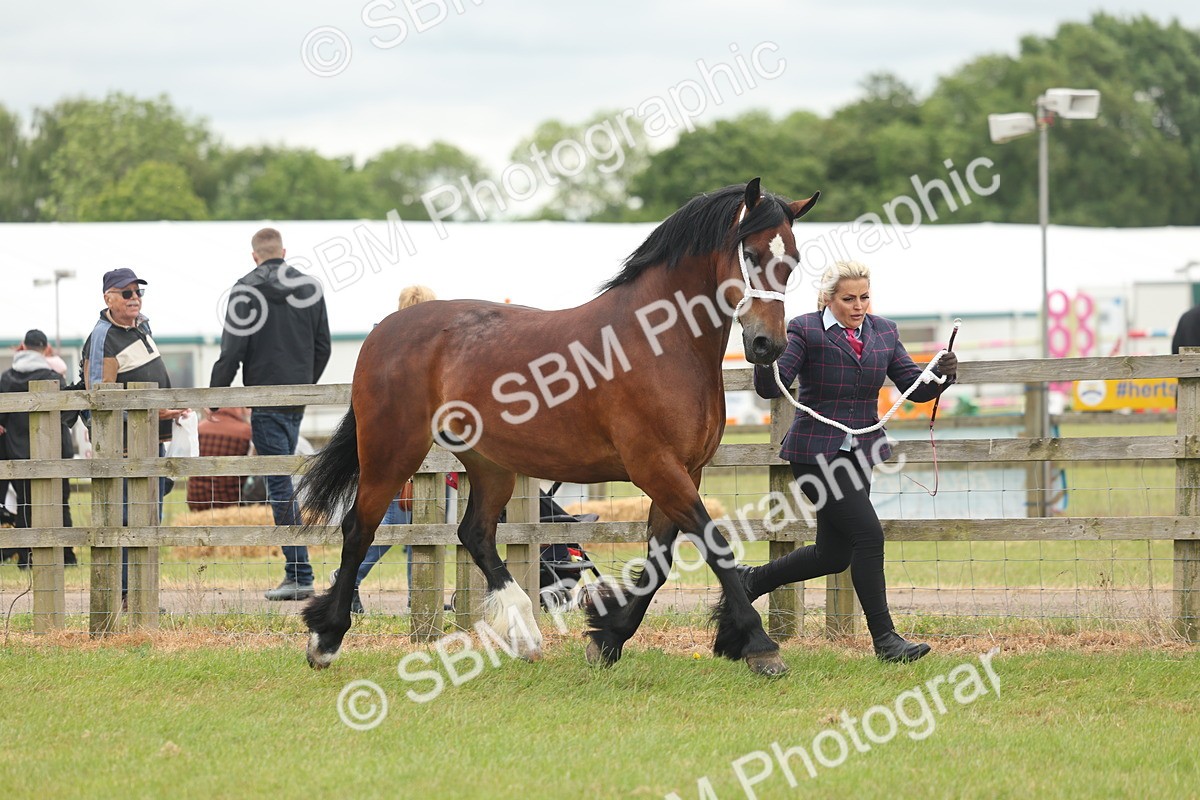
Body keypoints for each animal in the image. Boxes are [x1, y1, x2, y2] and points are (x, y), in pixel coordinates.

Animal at [298, 179, 820, 674]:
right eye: (750, 255)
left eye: (792, 261)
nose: (767, 345)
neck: (661, 343)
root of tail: (384, 330)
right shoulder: (657, 467)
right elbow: (712, 546)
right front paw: (760, 646)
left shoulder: (683, 472)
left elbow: (660, 561)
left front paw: (607, 637)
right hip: (392, 450)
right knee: (359, 529)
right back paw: (326, 640)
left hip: (488, 464)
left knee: (475, 534)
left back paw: (525, 635)